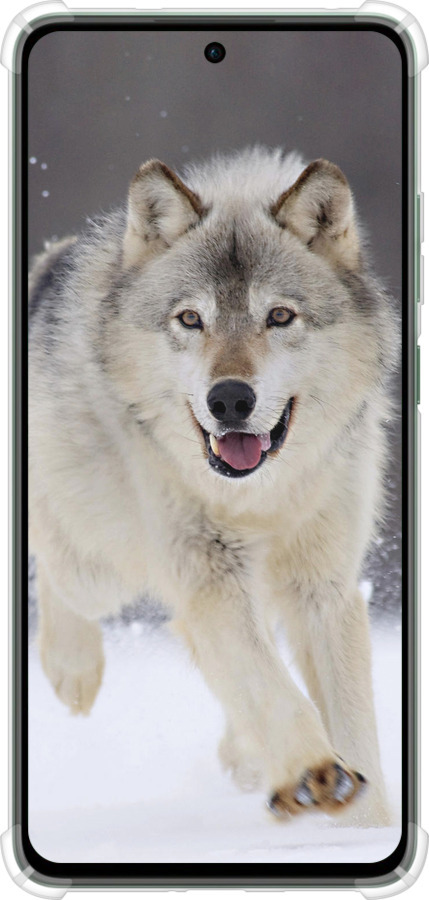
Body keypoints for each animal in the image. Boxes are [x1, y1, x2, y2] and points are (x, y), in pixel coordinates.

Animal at [29, 146, 397, 826]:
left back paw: (247, 757)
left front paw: (367, 827)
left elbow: (353, 725)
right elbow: (271, 686)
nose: (228, 399)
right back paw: (73, 669)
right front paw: (313, 773)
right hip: (102, 567)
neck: (259, 498)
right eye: (190, 319)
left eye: (279, 316)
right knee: (59, 571)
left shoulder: (323, 586)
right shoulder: (208, 573)